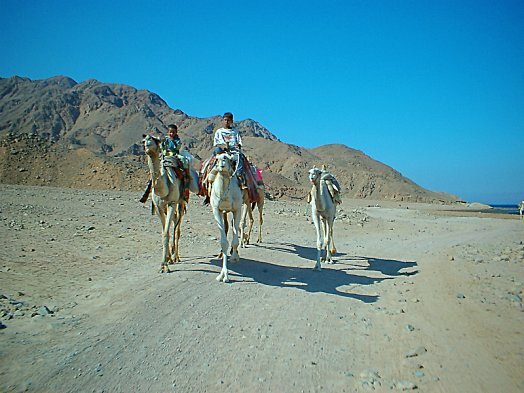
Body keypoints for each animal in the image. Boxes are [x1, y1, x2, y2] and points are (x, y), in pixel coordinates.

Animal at [142, 133, 193, 272]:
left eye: (156, 140)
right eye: (144, 139)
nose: (147, 142)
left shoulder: (172, 203)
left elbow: (167, 233)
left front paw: (164, 265)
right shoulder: (159, 207)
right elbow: (165, 231)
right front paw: (167, 260)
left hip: (180, 202)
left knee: (178, 228)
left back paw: (176, 257)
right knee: (174, 222)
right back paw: (172, 256)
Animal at [209, 151, 244, 282]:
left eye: (228, 159)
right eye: (217, 159)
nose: (222, 164)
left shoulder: (237, 209)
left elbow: (235, 240)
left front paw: (234, 257)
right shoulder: (216, 210)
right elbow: (224, 242)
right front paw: (223, 275)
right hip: (224, 212)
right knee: (227, 227)